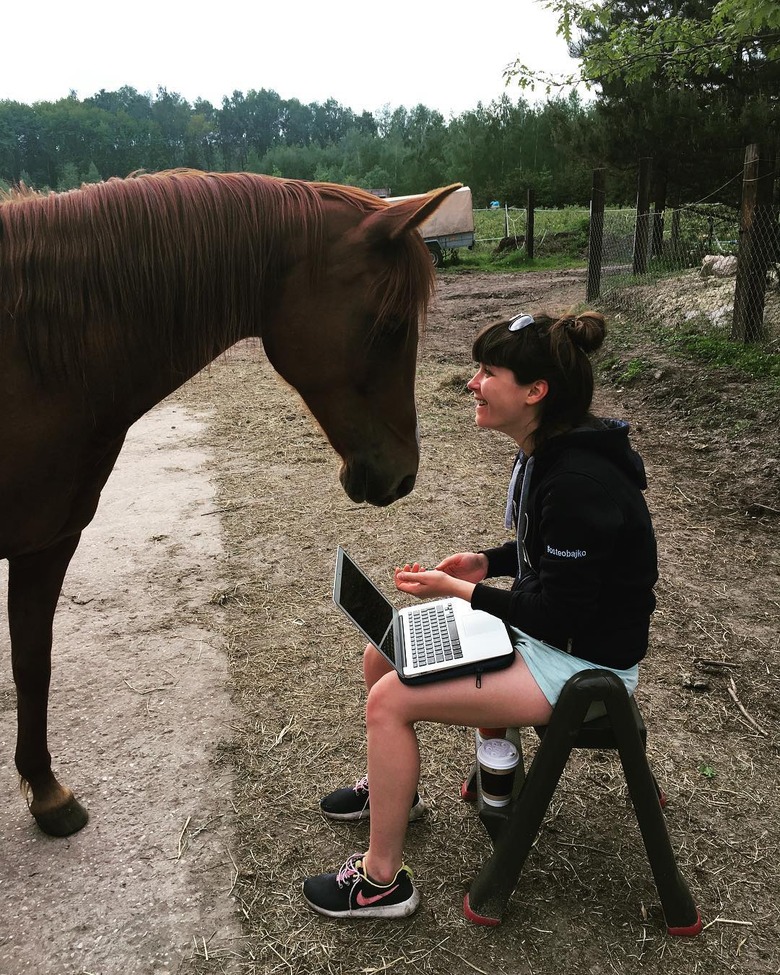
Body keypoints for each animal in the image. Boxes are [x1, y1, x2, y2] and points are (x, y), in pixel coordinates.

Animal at [0, 170, 458, 840]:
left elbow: (33, 663)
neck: (31, 360)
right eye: (391, 323)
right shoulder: (38, 543)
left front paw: (46, 790)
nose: (403, 475)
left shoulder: (51, 538)